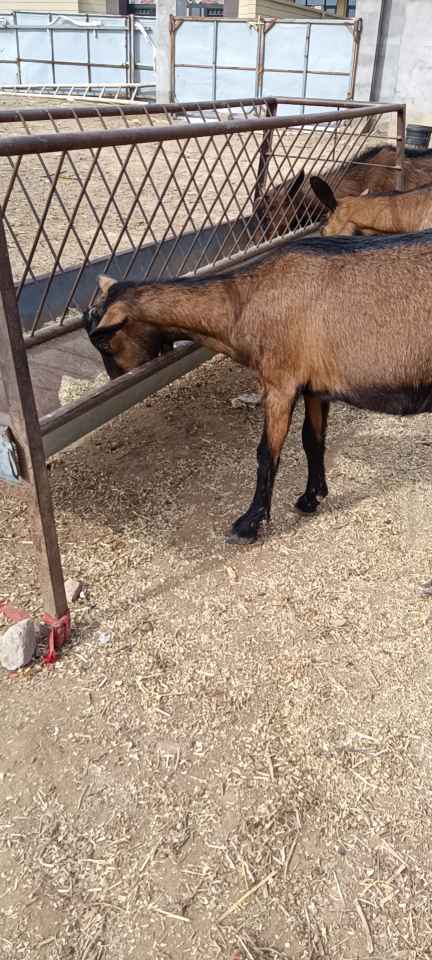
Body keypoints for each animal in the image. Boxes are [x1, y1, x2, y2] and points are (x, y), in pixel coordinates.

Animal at [86, 231, 432, 548]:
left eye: (103, 341)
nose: (116, 381)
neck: (244, 301)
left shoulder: (280, 383)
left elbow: (267, 453)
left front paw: (248, 524)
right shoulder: (314, 386)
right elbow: (312, 440)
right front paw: (312, 497)